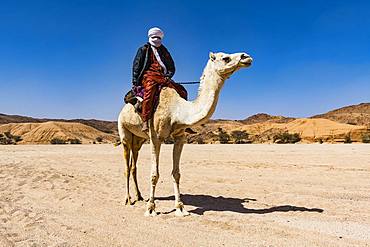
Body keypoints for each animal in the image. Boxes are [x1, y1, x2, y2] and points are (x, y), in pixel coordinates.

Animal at [117, 51, 253, 216]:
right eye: (225, 58)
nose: (246, 57)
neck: (176, 110)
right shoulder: (156, 137)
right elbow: (154, 174)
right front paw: (151, 209)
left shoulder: (180, 137)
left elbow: (176, 173)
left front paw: (180, 208)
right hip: (124, 131)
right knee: (126, 166)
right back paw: (128, 199)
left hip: (138, 140)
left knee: (133, 165)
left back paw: (139, 196)